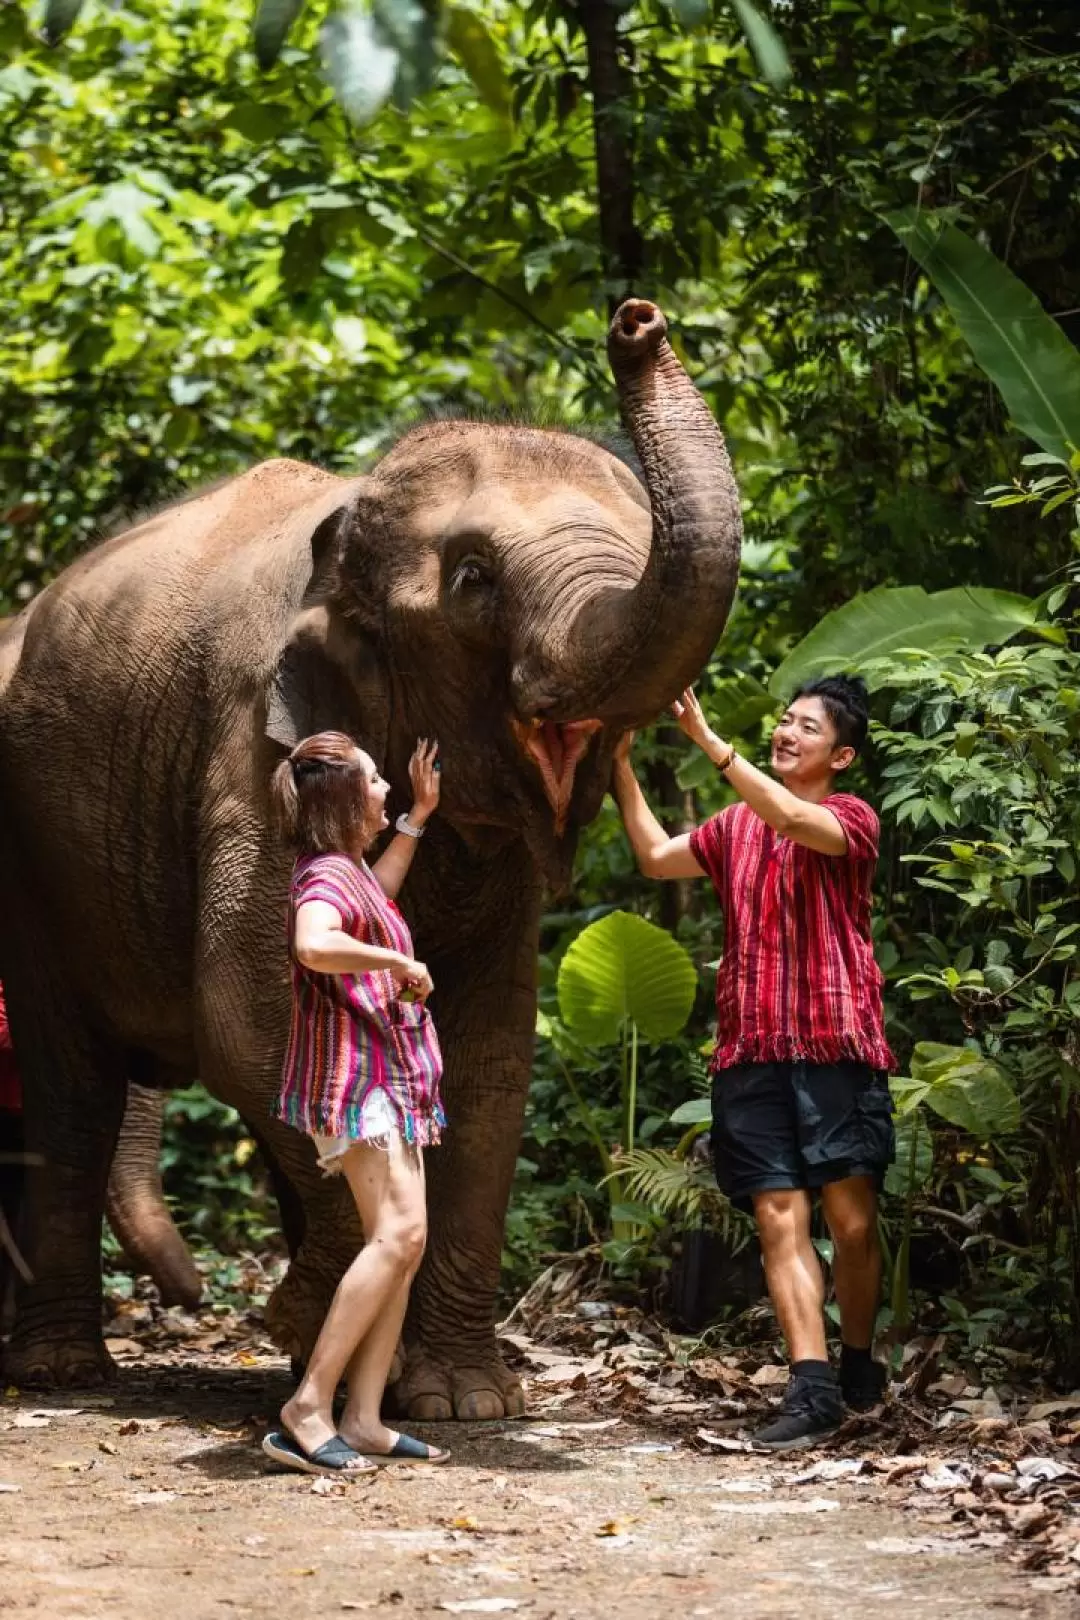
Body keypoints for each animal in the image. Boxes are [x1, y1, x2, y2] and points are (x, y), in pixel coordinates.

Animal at [0, 298, 744, 1412]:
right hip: (33, 857)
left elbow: (489, 1054)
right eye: (475, 580)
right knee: (70, 1090)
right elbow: (252, 1012)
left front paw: (461, 1398)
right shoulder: (250, 751)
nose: (636, 321)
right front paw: (316, 1330)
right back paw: (64, 1373)